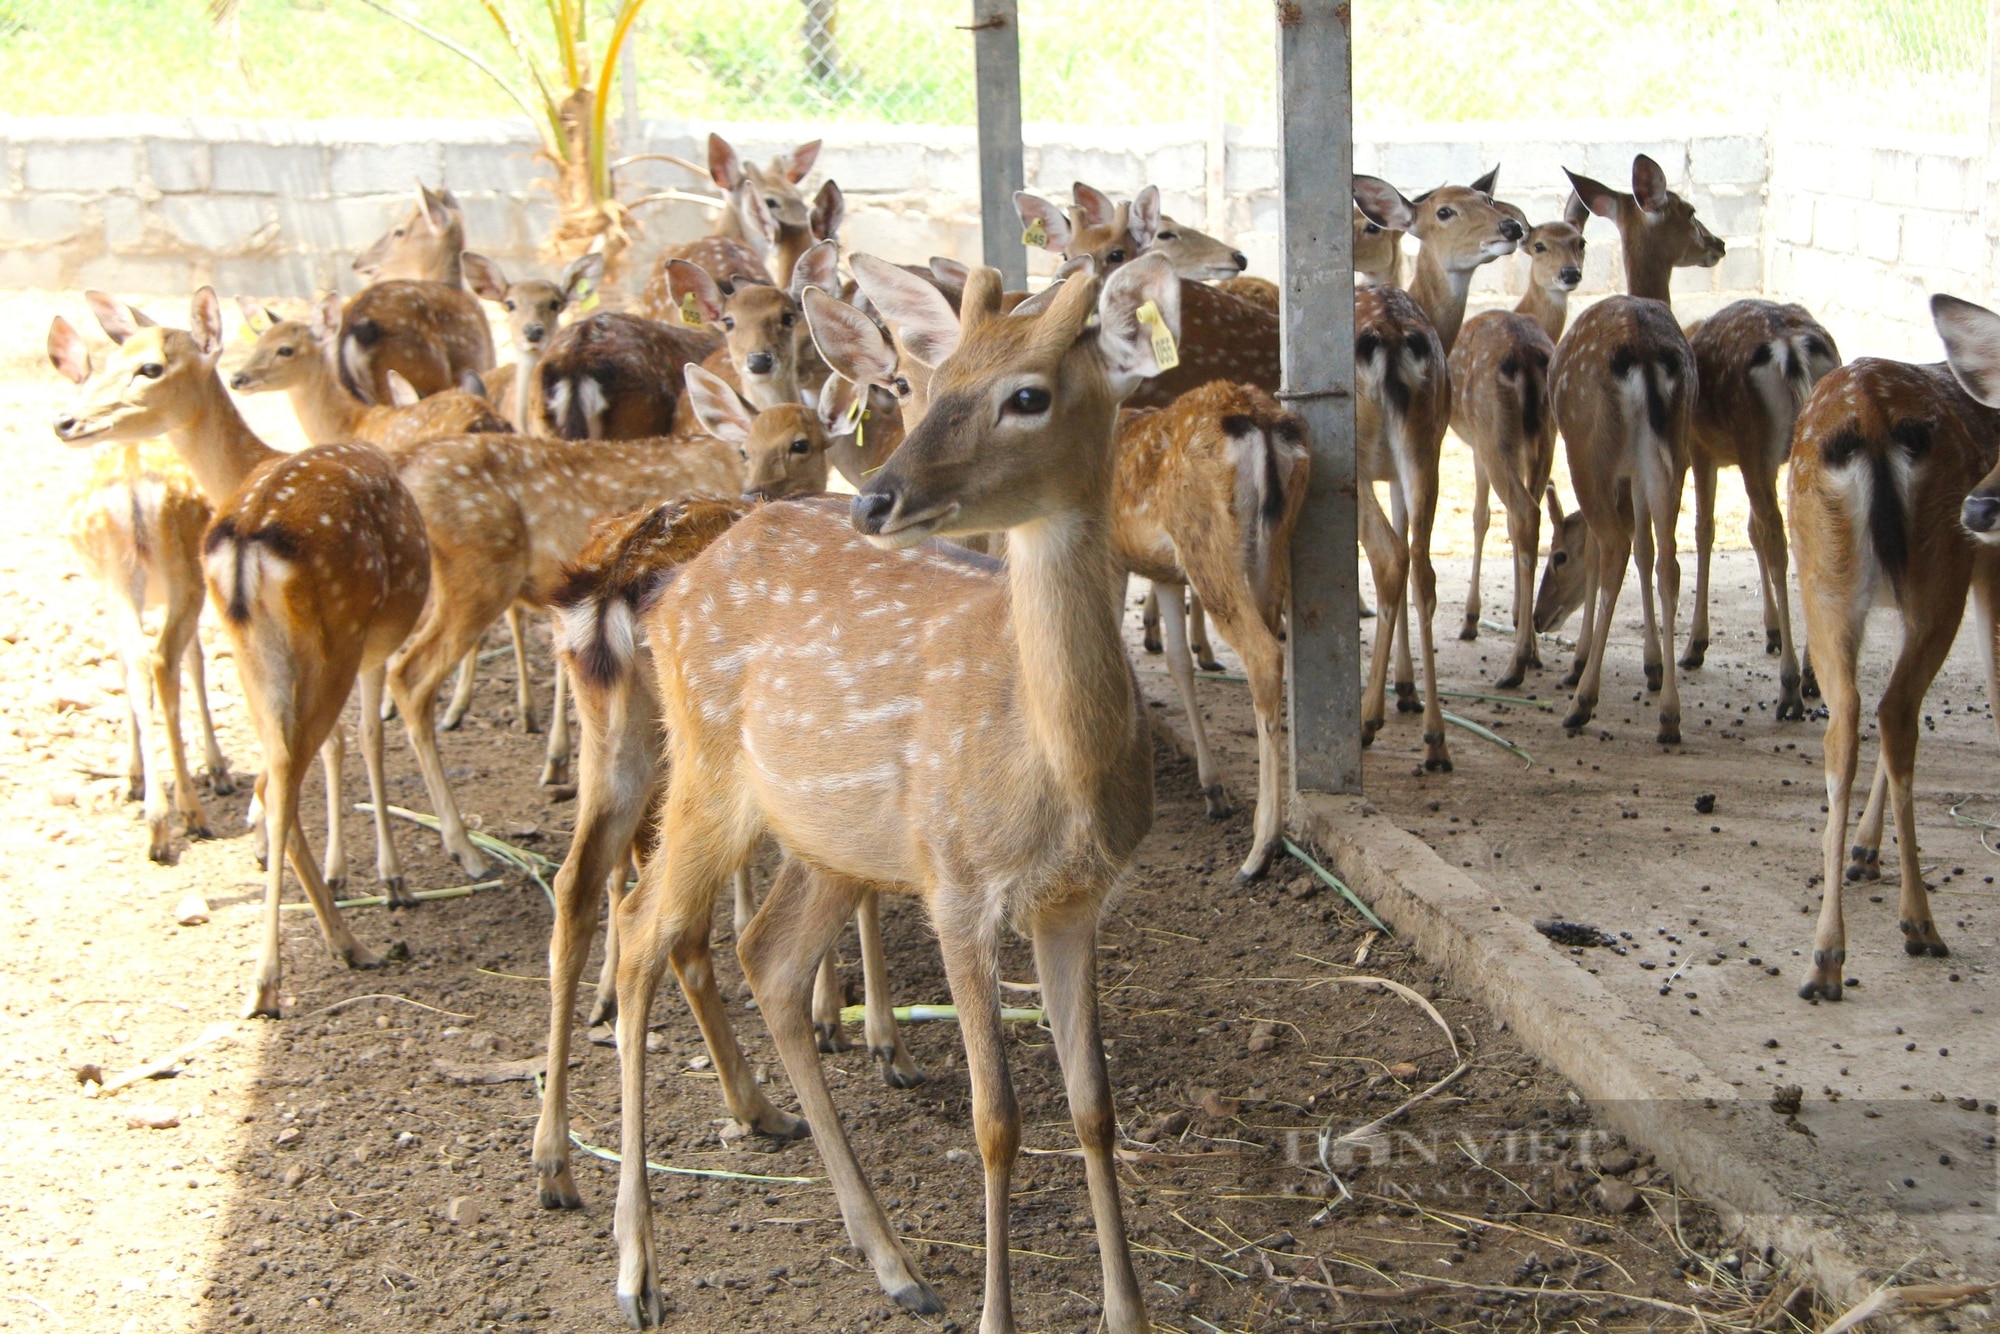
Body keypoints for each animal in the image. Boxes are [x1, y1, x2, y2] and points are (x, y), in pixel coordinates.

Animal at [52, 292, 474, 1016]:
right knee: (285, 766)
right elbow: (368, 739)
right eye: (105, 362)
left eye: (148, 366)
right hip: (331, 635)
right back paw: (302, 964)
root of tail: (247, 538)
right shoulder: (370, 645)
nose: (66, 420)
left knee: (265, 757)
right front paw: (392, 877)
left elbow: (343, 745)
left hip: (252, 646)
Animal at [592, 256, 1176, 1328]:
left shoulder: (1076, 900)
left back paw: (892, 1260)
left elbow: (1094, 1108)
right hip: (706, 771)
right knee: (641, 927)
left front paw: (1129, 1313)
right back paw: (635, 1267)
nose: (877, 500)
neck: (1053, 767)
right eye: (927, 386)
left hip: (830, 836)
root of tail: (674, 589)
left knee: (766, 955)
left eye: (1025, 396)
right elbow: (997, 1119)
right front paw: (997, 1315)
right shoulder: (956, 882)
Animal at [1456, 192, 1592, 684]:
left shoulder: (1476, 444)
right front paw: (1517, 615)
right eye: (1539, 245)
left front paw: (1472, 619)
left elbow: (1480, 518)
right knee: (1530, 515)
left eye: (1580, 242)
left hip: (1493, 430)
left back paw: (1515, 663)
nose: (1569, 273)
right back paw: (1528, 649)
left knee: (1522, 512)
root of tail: (1526, 355)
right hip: (1548, 434)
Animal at [1792, 294, 2000, 1000]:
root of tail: (1871, 417)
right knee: (1897, 711)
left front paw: (1864, 848)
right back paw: (1920, 924)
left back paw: (1826, 957)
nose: (1985, 508)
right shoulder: (1988, 571)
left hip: (1824, 581)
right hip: (1942, 571)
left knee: (1853, 718)